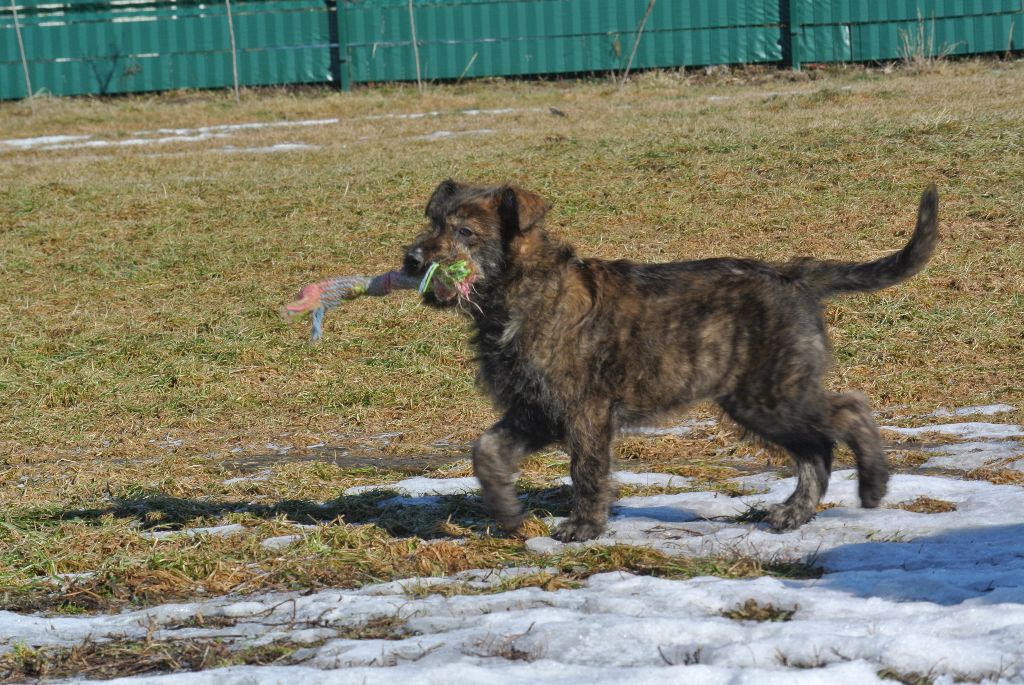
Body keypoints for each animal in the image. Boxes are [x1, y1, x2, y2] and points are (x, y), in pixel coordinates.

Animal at [397, 180, 937, 540]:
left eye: (465, 231)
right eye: (433, 223)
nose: (411, 260)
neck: (522, 291)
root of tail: (792, 275)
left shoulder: (584, 410)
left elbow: (587, 470)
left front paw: (584, 526)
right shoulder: (536, 410)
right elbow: (487, 451)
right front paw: (508, 514)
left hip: (770, 392)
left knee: (846, 412)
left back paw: (873, 483)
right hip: (761, 399)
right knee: (816, 447)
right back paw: (794, 513)